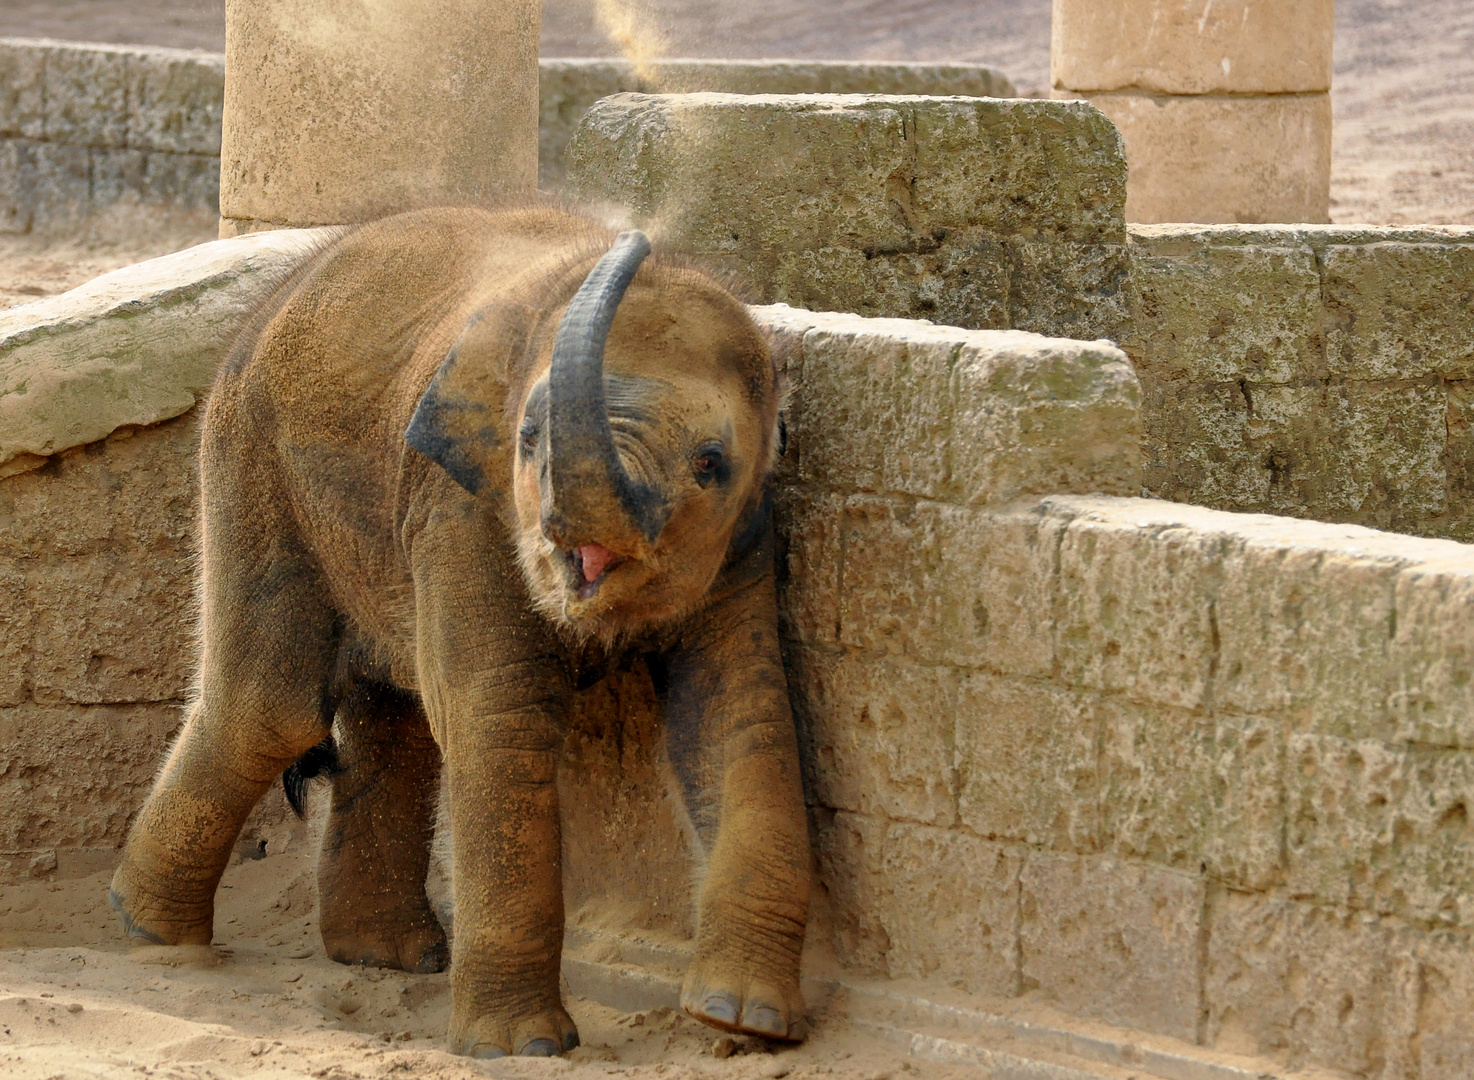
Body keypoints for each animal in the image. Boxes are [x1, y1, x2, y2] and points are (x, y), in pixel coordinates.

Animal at [109, 204, 813, 1054]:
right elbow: (500, 715)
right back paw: (153, 937)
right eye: (529, 438)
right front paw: (525, 1048)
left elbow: (734, 714)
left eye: (710, 462)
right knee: (271, 712)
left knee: (388, 712)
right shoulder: (462, 506)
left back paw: (384, 957)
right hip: (252, 460)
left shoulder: (746, 537)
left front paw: (745, 1021)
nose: (638, 234)